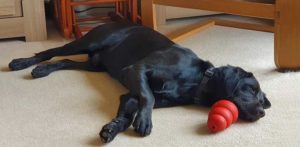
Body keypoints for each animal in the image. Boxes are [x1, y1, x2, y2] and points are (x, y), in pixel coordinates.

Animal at [9, 21, 272, 142]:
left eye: (262, 100)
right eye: (250, 89)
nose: (262, 112)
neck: (196, 80)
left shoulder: (130, 94)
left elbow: (128, 112)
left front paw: (112, 128)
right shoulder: (137, 70)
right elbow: (149, 96)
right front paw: (144, 122)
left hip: (95, 64)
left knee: (64, 61)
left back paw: (43, 70)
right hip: (89, 42)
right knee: (51, 51)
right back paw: (23, 63)